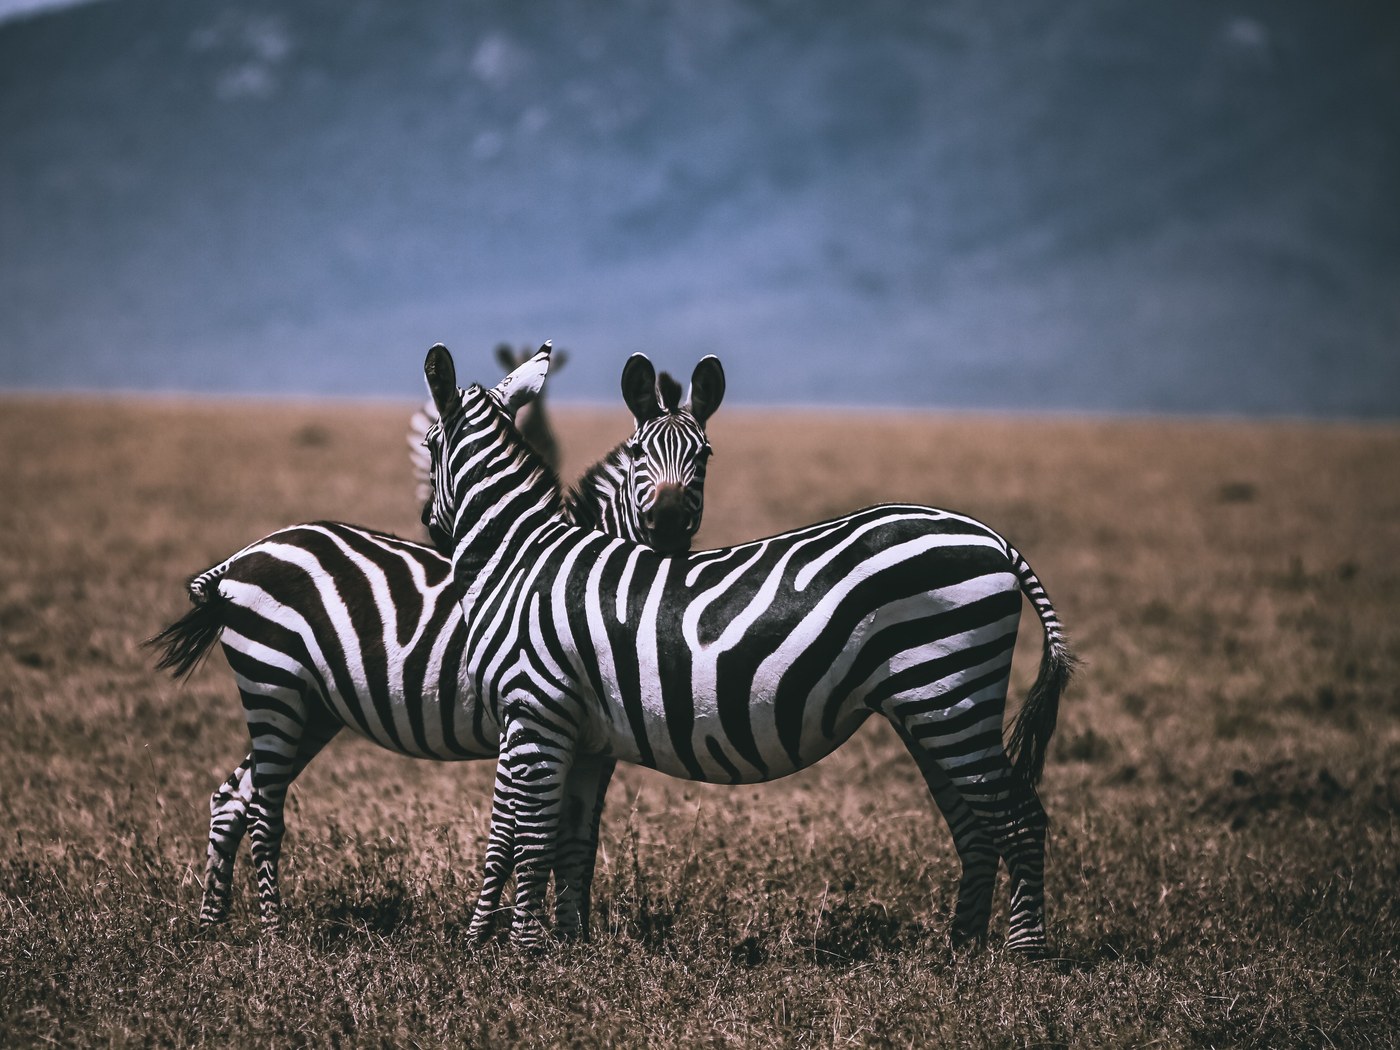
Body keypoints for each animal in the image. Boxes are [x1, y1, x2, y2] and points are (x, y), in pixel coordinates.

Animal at [149, 348, 725, 932]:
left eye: (704, 457)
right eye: (639, 456)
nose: (670, 525)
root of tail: (240, 558)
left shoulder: (589, 736)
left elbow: (575, 838)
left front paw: (572, 933)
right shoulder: (535, 720)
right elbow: (525, 831)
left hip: (312, 707)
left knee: (233, 796)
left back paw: (213, 922)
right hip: (274, 683)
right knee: (264, 808)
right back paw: (273, 933)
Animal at [420, 343, 1075, 956]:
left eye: (427, 444)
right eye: (637, 454)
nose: (427, 523)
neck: (518, 558)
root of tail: (991, 538)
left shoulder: (533, 709)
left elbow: (516, 833)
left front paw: (507, 949)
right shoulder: (579, 732)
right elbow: (563, 836)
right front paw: (563, 943)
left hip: (952, 695)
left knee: (1021, 819)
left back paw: (1024, 956)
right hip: (934, 706)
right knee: (977, 825)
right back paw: (962, 949)